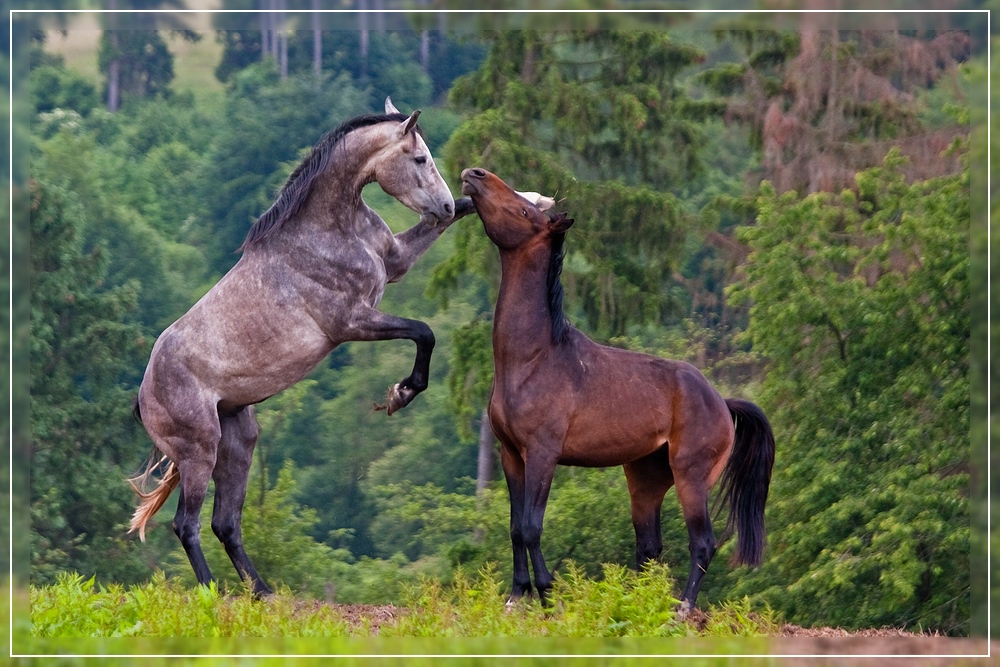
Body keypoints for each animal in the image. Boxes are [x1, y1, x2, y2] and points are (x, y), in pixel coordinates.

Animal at [127, 99, 474, 596]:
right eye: (419, 158)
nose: (443, 205)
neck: (326, 230)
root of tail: (144, 396)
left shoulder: (396, 264)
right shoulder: (352, 323)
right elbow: (424, 332)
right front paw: (400, 394)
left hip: (239, 443)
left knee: (225, 523)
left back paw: (263, 592)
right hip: (200, 450)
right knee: (187, 525)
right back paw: (215, 593)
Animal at [458, 168, 776, 616]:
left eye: (524, 211)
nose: (476, 175)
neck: (535, 357)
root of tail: (722, 402)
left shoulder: (542, 454)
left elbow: (532, 526)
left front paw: (548, 596)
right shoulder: (510, 455)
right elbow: (515, 528)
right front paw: (516, 597)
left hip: (691, 478)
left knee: (702, 542)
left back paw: (682, 608)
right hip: (645, 481)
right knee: (649, 548)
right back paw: (638, 603)